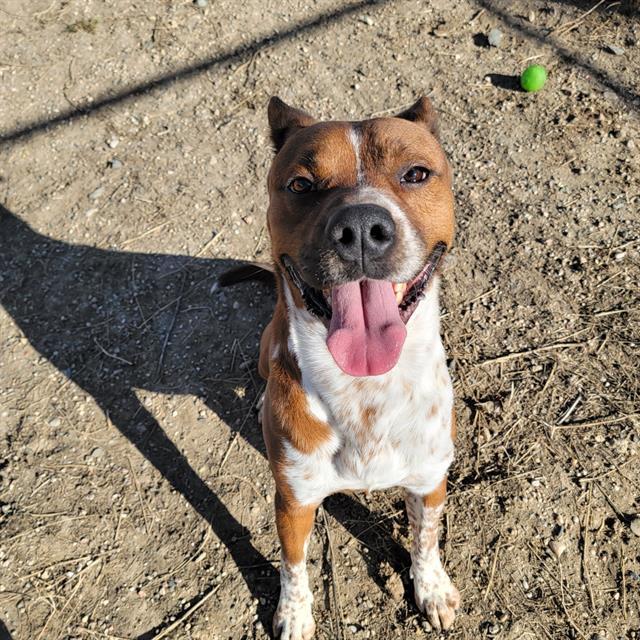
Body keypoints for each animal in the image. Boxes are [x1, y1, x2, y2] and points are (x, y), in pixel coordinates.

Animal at [222, 96, 458, 640]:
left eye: (416, 173)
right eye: (300, 185)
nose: (362, 230)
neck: (365, 389)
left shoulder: (430, 480)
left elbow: (426, 539)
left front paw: (431, 588)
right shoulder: (293, 502)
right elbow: (292, 566)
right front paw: (293, 614)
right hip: (266, 344)